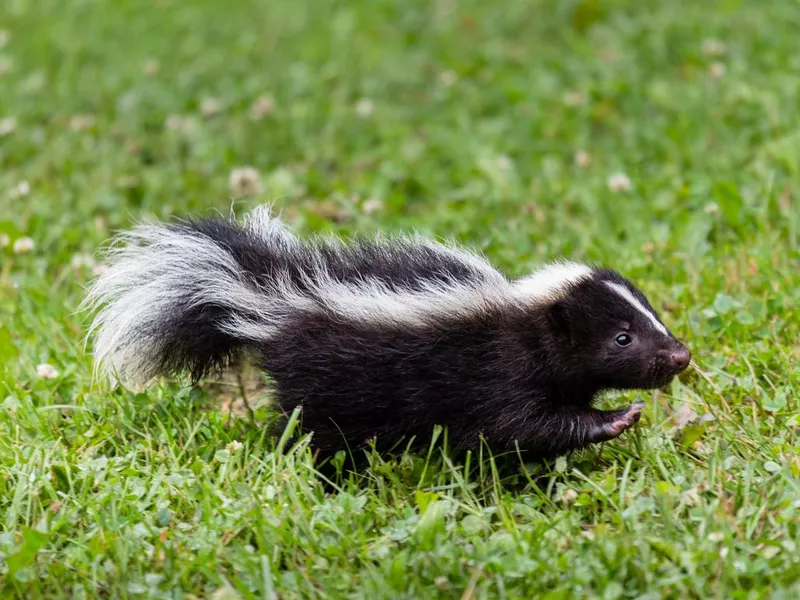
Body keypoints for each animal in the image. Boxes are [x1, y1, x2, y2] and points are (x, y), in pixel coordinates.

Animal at [84, 206, 692, 460]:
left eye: (652, 318)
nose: (680, 355)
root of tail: (274, 292)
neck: (523, 317)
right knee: (314, 433)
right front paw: (616, 418)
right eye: (622, 338)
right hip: (327, 383)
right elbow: (521, 426)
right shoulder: (497, 370)